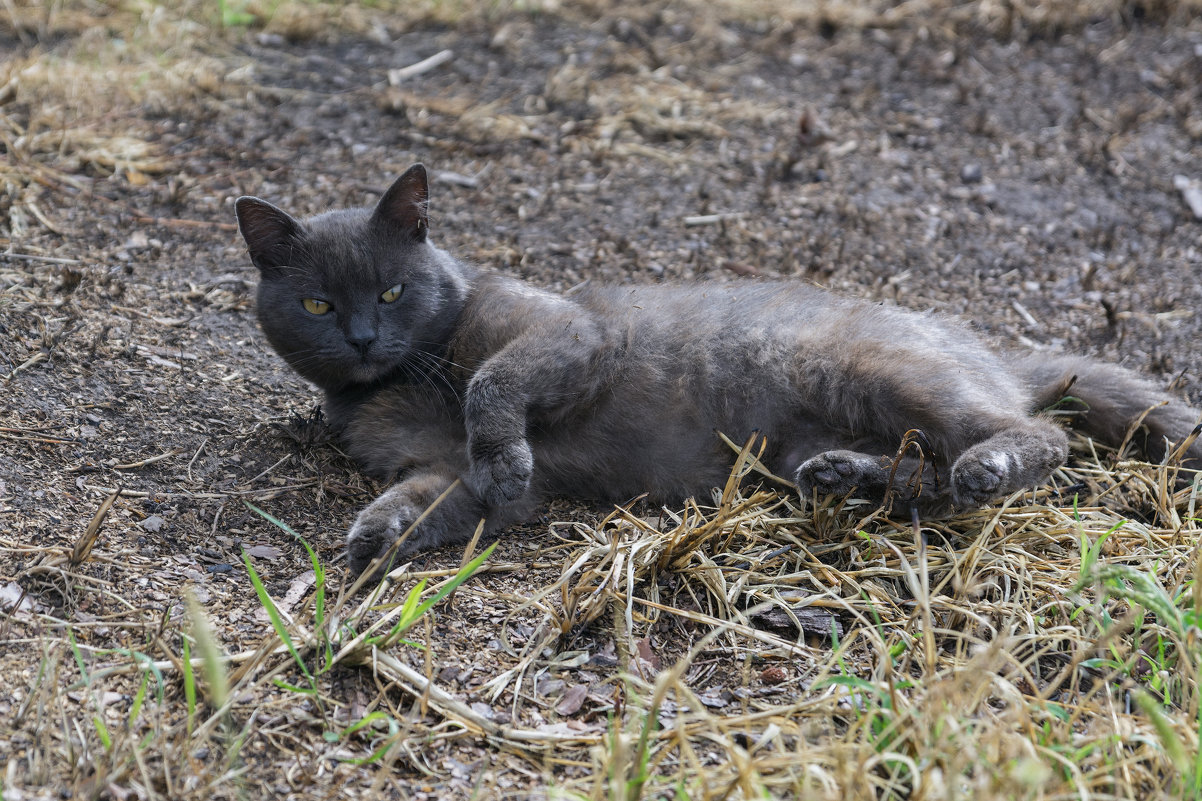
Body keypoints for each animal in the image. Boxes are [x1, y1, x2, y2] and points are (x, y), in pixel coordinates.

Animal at [236, 163, 1202, 574]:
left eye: (393, 290)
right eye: (318, 306)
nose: (365, 338)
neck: (402, 379)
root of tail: (992, 350)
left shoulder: (571, 334)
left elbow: (491, 386)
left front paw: (499, 454)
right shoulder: (437, 469)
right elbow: (431, 497)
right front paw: (374, 537)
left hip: (875, 369)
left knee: (1024, 438)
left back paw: (986, 465)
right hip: (806, 437)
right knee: (926, 478)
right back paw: (847, 476)